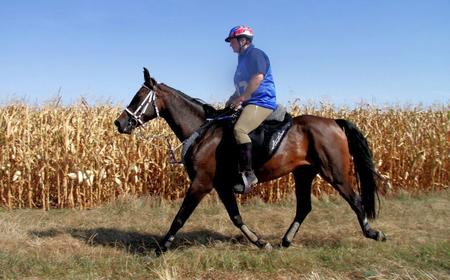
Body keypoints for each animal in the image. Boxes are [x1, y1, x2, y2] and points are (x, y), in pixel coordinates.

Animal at [114, 68, 384, 254]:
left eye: (138, 97)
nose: (119, 123)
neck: (203, 131)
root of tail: (335, 122)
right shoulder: (221, 185)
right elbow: (236, 217)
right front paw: (261, 242)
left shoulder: (201, 183)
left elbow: (180, 216)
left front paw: (161, 247)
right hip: (304, 173)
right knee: (304, 207)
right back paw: (285, 241)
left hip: (335, 172)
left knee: (356, 200)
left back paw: (373, 233)